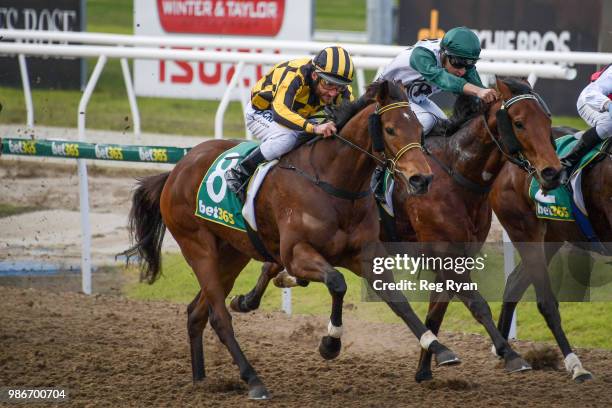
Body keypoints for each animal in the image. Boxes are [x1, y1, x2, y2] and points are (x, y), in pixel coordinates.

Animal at [124, 79, 464, 398]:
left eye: (419, 128)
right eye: (391, 129)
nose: (422, 179)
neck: (333, 182)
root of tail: (177, 169)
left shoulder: (366, 255)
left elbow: (399, 302)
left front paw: (440, 349)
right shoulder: (296, 254)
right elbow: (337, 282)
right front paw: (330, 343)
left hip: (233, 254)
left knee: (196, 313)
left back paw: (200, 380)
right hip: (198, 246)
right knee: (219, 317)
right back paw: (254, 381)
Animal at [232, 77, 560, 382]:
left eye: (547, 121)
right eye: (519, 123)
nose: (553, 173)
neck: (455, 173)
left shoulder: (456, 256)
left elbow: (436, 311)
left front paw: (425, 367)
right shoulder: (444, 253)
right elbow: (476, 304)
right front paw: (510, 354)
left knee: (274, 261)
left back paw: (255, 294)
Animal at [494, 131, 608, 382]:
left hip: (551, 237)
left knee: (513, 283)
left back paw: (503, 350)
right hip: (525, 232)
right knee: (545, 302)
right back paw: (576, 366)